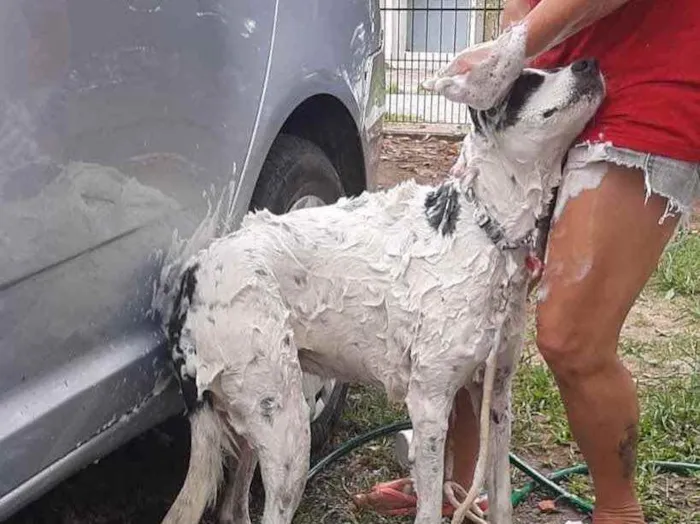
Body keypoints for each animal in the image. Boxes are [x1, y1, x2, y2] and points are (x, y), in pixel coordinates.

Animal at [159, 58, 600, 524]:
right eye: (527, 82)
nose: (589, 63)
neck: (484, 229)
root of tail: (194, 273)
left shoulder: (496, 397)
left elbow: (500, 499)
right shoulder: (429, 404)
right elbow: (430, 508)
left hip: (259, 419)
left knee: (233, 507)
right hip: (287, 433)